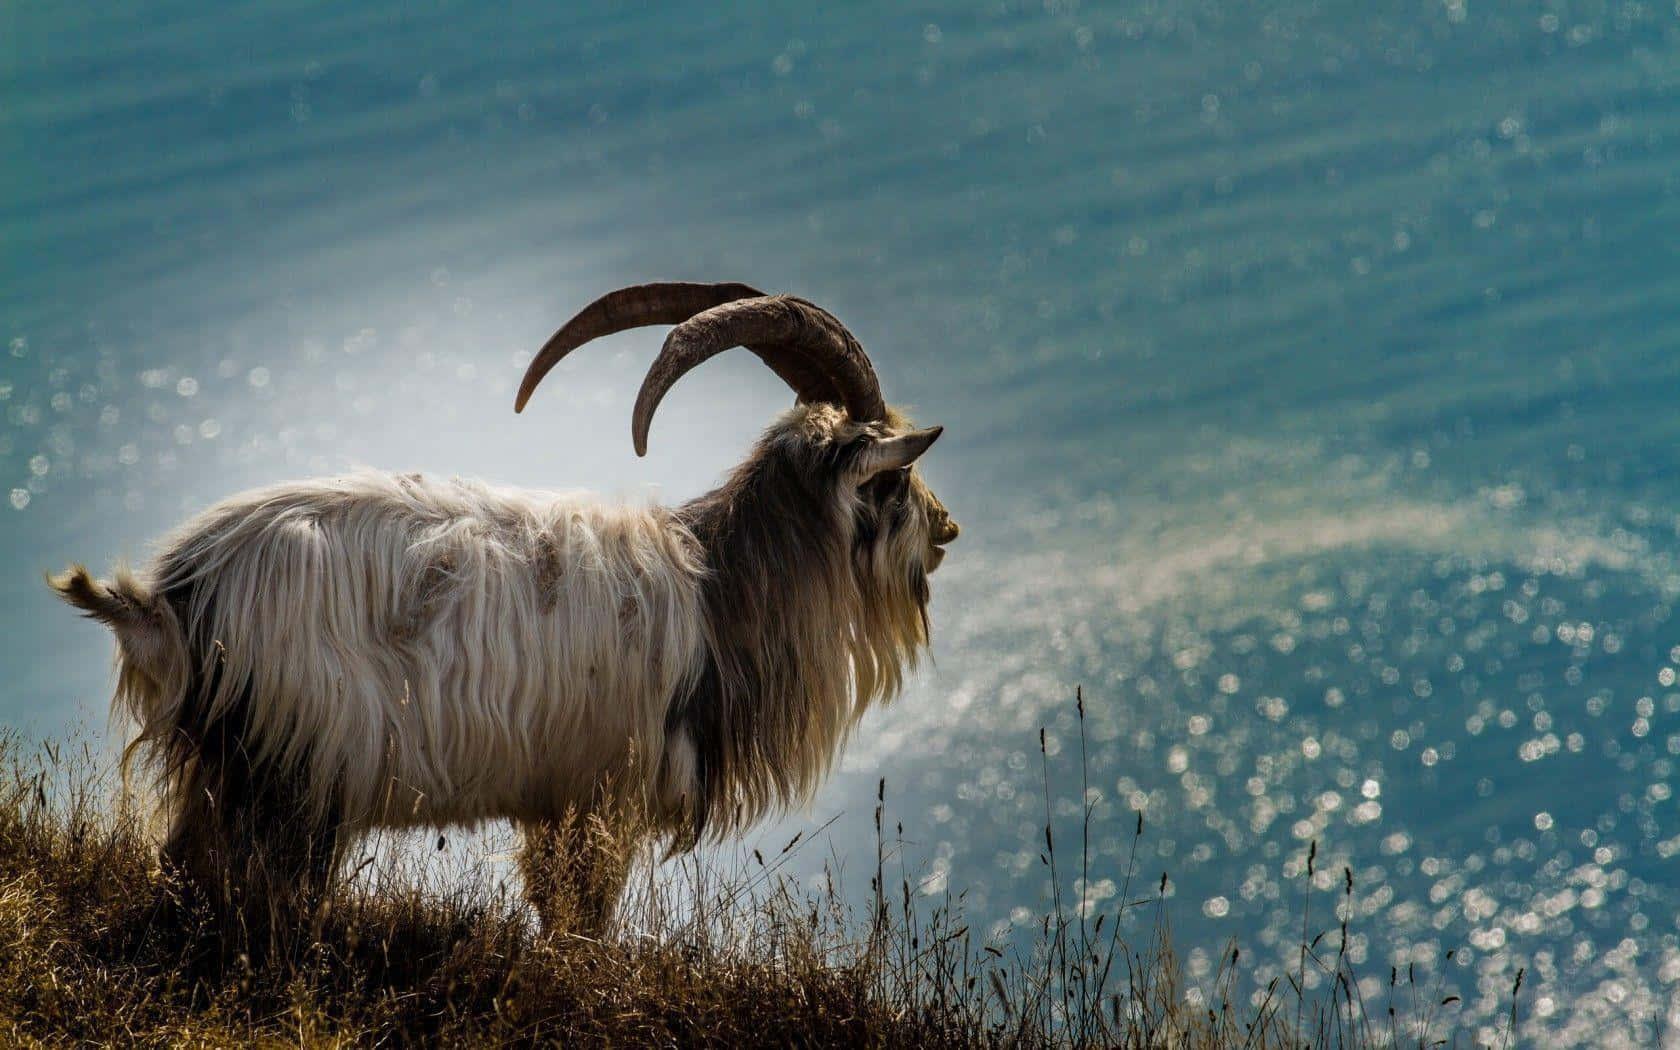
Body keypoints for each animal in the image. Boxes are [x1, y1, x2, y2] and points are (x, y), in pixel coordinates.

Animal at [49, 282, 960, 940]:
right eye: (891, 479)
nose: (947, 529)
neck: (715, 593)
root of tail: (171, 596)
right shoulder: (599, 796)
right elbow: (578, 922)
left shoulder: (561, 802)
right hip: (286, 770)